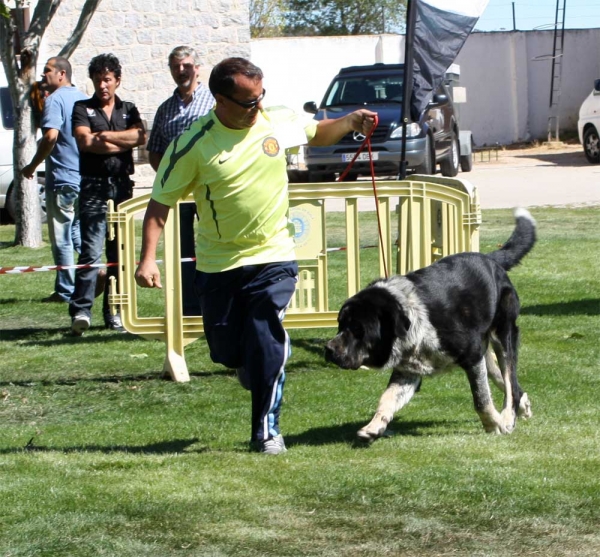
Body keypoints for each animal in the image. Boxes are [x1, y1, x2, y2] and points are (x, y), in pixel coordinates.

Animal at [326, 208, 536, 444]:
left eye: (357, 329)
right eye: (340, 324)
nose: (329, 349)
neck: (412, 317)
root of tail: (490, 259)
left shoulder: (472, 358)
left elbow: (481, 399)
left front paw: (495, 425)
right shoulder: (407, 371)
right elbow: (387, 398)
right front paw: (373, 427)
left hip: (503, 335)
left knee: (510, 381)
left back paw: (508, 417)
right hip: (486, 351)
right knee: (508, 381)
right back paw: (522, 406)